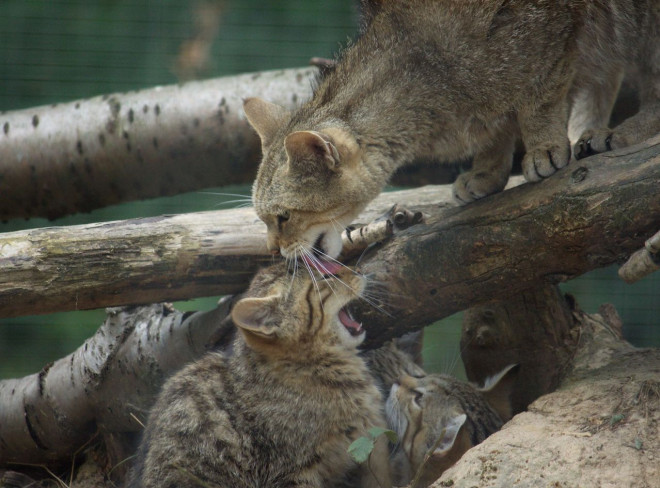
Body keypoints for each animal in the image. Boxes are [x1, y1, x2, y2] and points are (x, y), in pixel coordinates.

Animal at [244, 0, 660, 264]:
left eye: (283, 218)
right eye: (263, 219)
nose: (272, 251)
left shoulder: (550, 30)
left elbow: (540, 96)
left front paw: (544, 146)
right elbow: (499, 126)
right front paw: (487, 172)